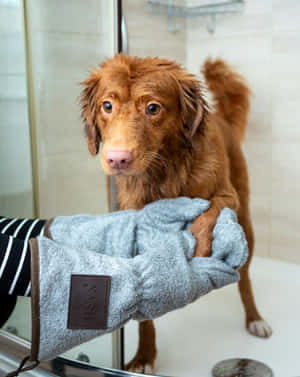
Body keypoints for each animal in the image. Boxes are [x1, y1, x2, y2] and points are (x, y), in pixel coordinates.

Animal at [79, 53, 272, 374]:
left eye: (152, 108)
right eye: (107, 106)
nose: (117, 159)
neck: (162, 173)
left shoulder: (226, 196)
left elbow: (207, 214)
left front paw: (199, 244)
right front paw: (144, 356)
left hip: (245, 218)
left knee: (245, 278)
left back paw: (255, 319)